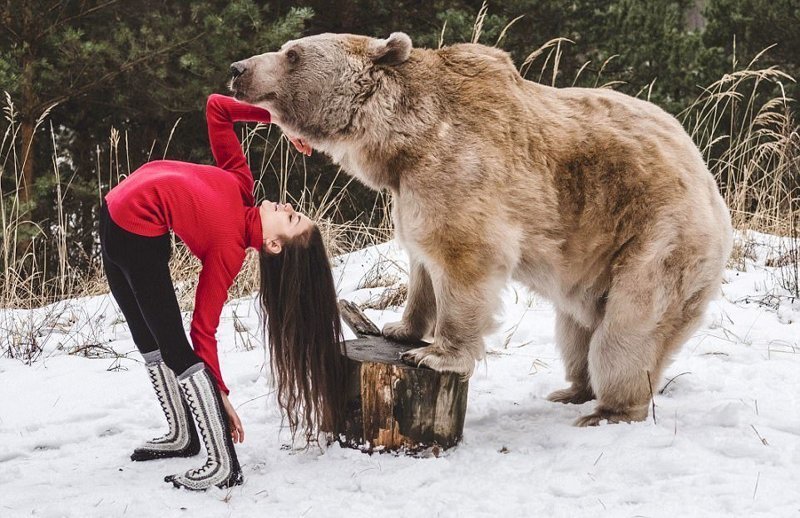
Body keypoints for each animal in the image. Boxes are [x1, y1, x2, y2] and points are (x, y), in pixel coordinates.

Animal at [230, 32, 732, 426]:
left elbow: (464, 260)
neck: (403, 141)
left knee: (626, 331)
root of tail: (709, 181)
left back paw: (608, 409)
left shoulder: (462, 169)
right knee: (576, 333)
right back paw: (573, 389)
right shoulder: (409, 191)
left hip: (655, 235)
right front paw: (399, 328)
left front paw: (435, 354)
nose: (238, 68)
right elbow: (421, 262)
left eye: (293, 53)